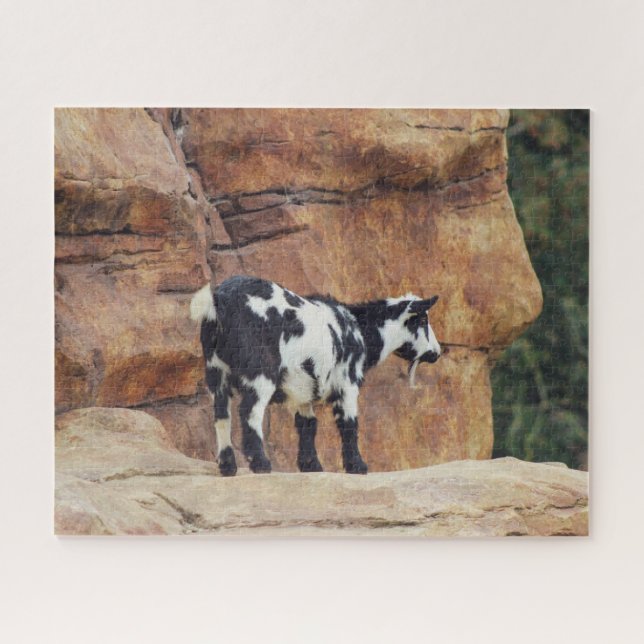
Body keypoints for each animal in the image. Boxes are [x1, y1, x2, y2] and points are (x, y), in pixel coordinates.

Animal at [190, 275, 441, 476]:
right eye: (422, 320)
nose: (437, 353)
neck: (359, 328)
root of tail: (218, 301)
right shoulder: (347, 382)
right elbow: (349, 423)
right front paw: (357, 466)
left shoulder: (303, 389)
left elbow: (307, 424)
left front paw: (311, 466)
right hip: (260, 372)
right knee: (249, 412)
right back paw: (260, 464)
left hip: (215, 371)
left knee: (221, 415)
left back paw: (228, 466)